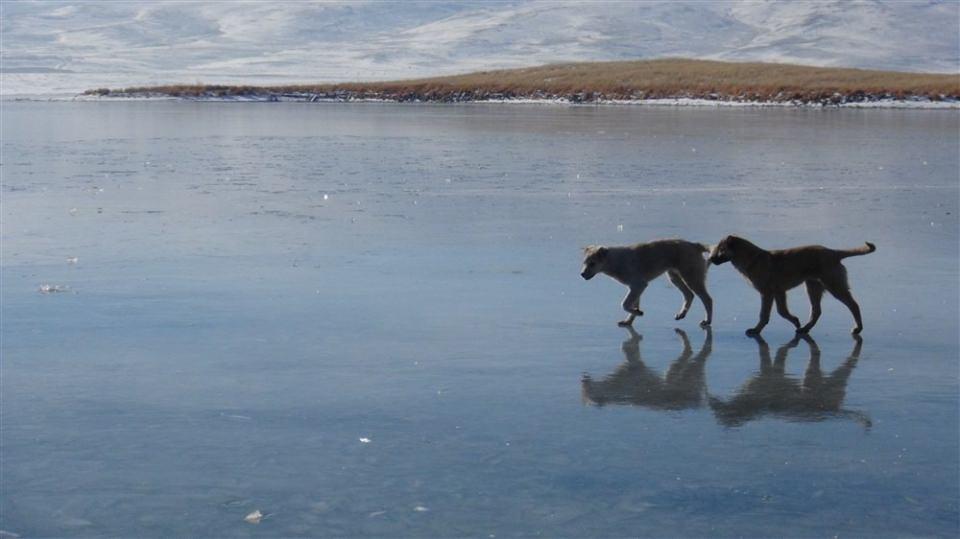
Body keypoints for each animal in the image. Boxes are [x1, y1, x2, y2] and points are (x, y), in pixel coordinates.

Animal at [704, 237, 876, 338]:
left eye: (720, 250)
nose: (710, 259)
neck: (752, 258)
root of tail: (834, 253)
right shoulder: (779, 292)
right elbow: (782, 311)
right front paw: (795, 321)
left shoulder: (767, 293)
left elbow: (764, 314)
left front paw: (756, 330)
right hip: (812, 286)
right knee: (816, 311)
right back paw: (804, 328)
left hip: (833, 284)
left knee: (853, 305)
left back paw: (858, 328)